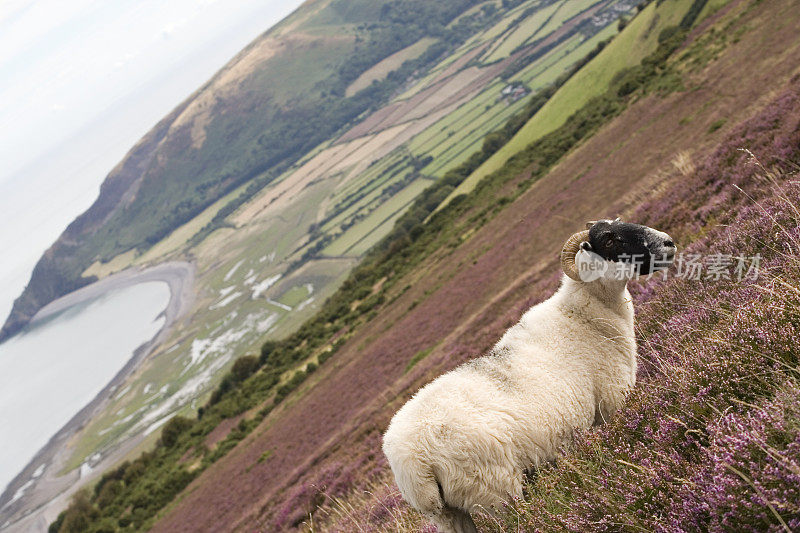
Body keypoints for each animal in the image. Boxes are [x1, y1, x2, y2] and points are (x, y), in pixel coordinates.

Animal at [382, 218, 676, 528]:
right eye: (609, 240)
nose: (668, 243)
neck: (582, 316)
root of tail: (413, 461)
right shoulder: (611, 405)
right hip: (495, 490)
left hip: (447, 514)